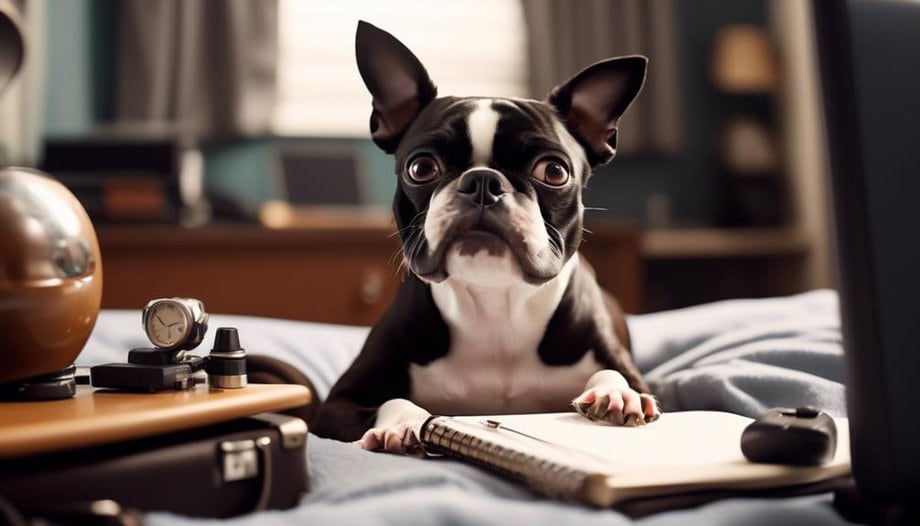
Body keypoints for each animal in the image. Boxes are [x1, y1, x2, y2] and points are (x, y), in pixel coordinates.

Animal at [312, 21, 656, 454]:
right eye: (421, 167)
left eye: (554, 171)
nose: (482, 182)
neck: (494, 303)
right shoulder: (336, 404)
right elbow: (391, 401)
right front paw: (404, 423)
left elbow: (616, 375)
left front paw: (616, 393)